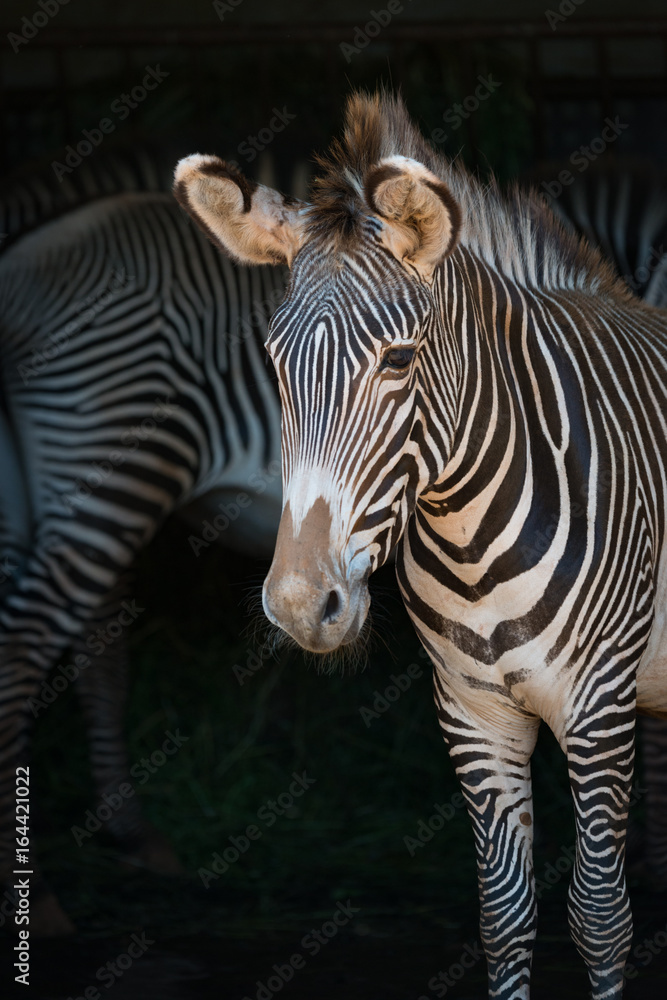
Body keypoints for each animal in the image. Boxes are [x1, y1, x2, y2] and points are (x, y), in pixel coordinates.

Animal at [175, 92, 667, 998]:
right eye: (275, 365)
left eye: (398, 360)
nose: (300, 606)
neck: (472, 542)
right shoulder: (472, 713)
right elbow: (504, 917)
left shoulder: (598, 706)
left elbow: (599, 917)